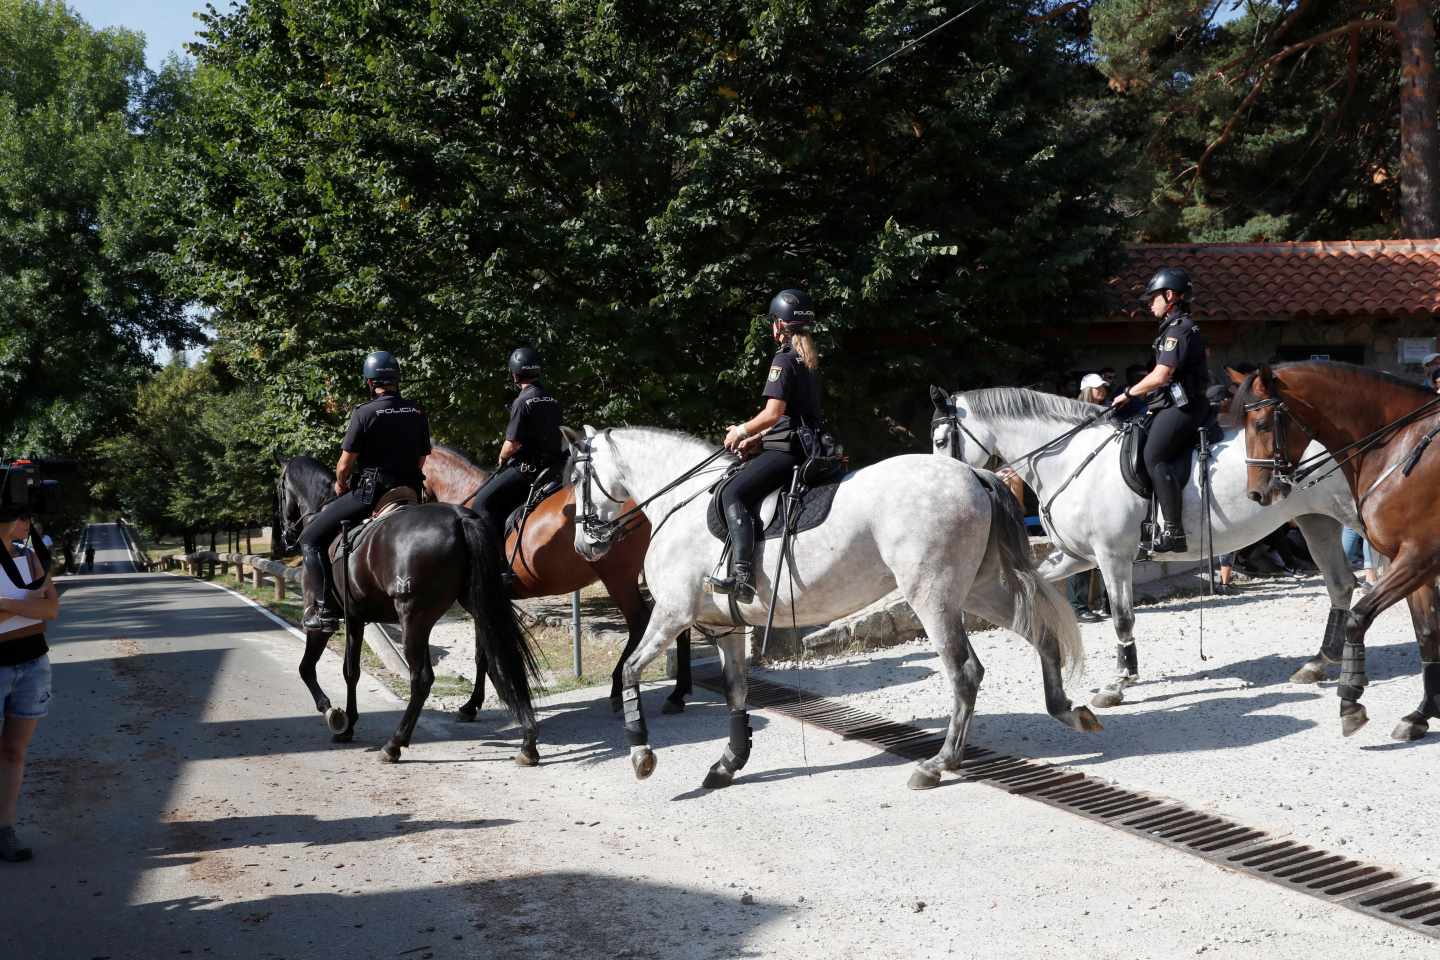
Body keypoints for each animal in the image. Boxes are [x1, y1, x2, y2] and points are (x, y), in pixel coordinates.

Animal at [270, 457, 541, 765]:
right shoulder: (357, 620)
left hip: (413, 618)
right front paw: (349, 723)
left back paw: (394, 744)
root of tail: (461, 518)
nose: (286, 537)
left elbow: (306, 668)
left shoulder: (322, 623)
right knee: (500, 663)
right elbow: (351, 671)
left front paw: (333, 714)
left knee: (422, 679)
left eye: (279, 490)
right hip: (474, 608)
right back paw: (527, 741)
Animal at [420, 443, 691, 713]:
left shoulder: (480, 601)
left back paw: (619, 686)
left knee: (639, 621)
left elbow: (485, 654)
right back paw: (677, 693)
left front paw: (473, 703)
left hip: (618, 577)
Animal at [561, 426, 1100, 788]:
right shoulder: (726, 627)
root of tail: (972, 471)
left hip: (933, 595)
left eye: (576, 479)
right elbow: (737, 691)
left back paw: (939, 763)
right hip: (979, 590)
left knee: (965, 671)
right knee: (1040, 633)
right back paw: (1068, 712)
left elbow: (631, 670)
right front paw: (729, 762)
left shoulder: (672, 615)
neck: (681, 504)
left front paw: (641, 757)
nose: (585, 545)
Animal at [927, 385, 1365, 711]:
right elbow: (1034, 587)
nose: (944, 485)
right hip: (1316, 521)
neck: (1069, 460)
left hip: (1353, 513)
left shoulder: (1113, 557)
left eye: (941, 439)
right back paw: (1320, 662)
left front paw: (1119, 683)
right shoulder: (1076, 556)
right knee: (1341, 583)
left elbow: (1122, 618)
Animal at [1226, 364, 1440, 742]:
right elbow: (1427, 636)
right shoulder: (1415, 564)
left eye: (1262, 424)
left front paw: (1350, 703)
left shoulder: (1419, 557)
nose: (1256, 493)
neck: (1400, 447)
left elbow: (1358, 618)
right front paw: (1421, 715)